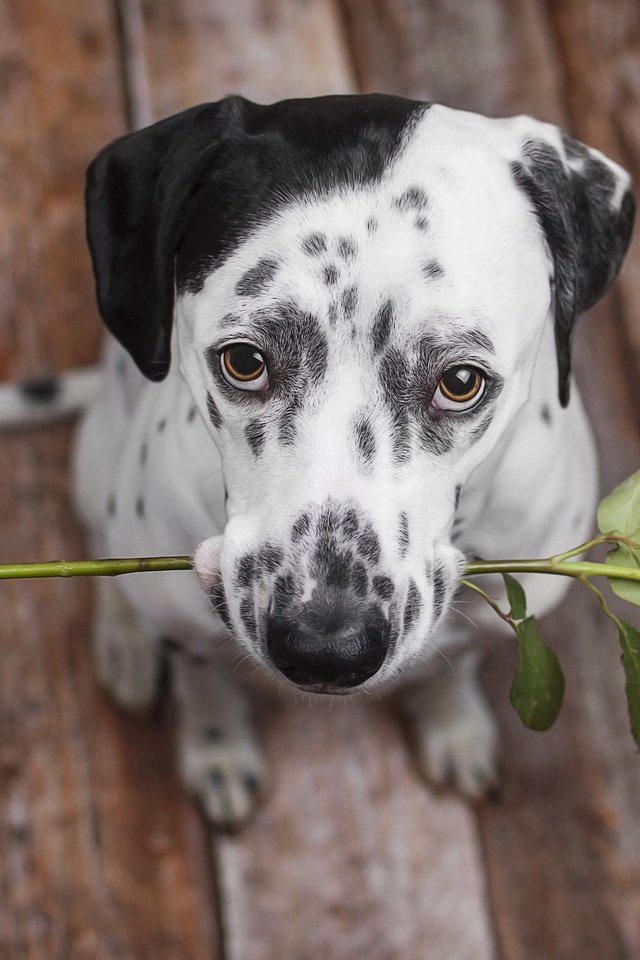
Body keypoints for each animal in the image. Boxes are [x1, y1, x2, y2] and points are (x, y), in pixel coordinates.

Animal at [6, 94, 636, 824]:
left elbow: (457, 666)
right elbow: (204, 683)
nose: (326, 650)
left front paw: (454, 725)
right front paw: (217, 746)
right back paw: (125, 641)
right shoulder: (189, 628)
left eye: (461, 381)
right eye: (244, 362)